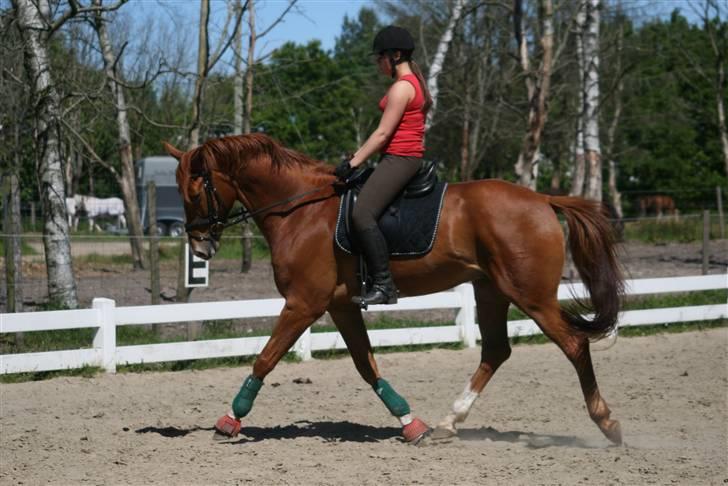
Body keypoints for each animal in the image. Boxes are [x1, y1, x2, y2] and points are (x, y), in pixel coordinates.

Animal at [166, 135, 624, 446]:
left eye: (194, 191)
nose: (200, 247)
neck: (300, 209)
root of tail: (543, 199)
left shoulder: (303, 304)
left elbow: (265, 359)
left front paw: (230, 420)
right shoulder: (340, 307)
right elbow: (366, 366)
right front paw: (411, 424)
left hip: (531, 296)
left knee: (574, 344)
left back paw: (608, 423)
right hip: (490, 290)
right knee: (496, 351)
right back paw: (448, 422)